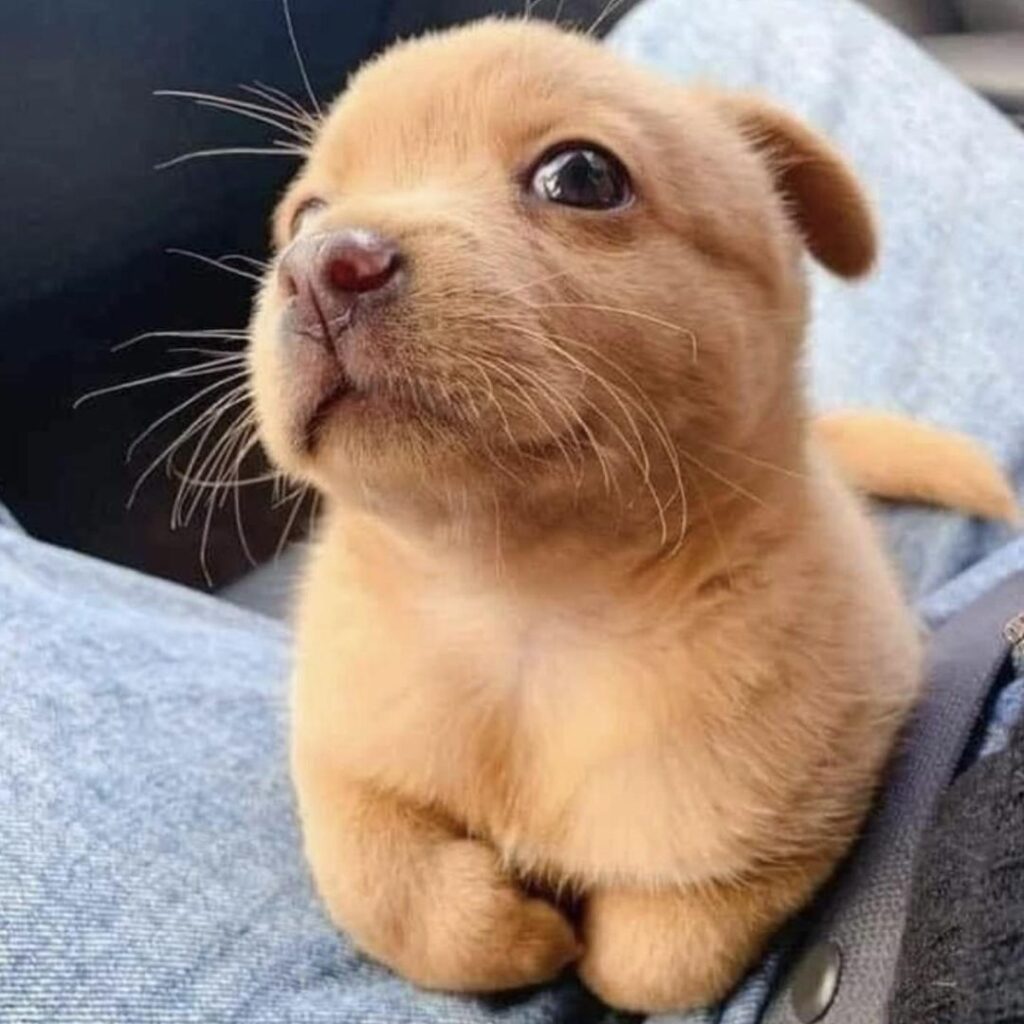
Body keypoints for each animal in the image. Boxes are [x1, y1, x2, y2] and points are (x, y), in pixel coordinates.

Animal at [245, 18, 1015, 1015]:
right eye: (303, 216)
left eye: (581, 176)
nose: (318, 266)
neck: (522, 608)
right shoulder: (337, 757)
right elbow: (383, 884)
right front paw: (513, 933)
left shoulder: (811, 803)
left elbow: (657, 951)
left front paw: (581, 941)